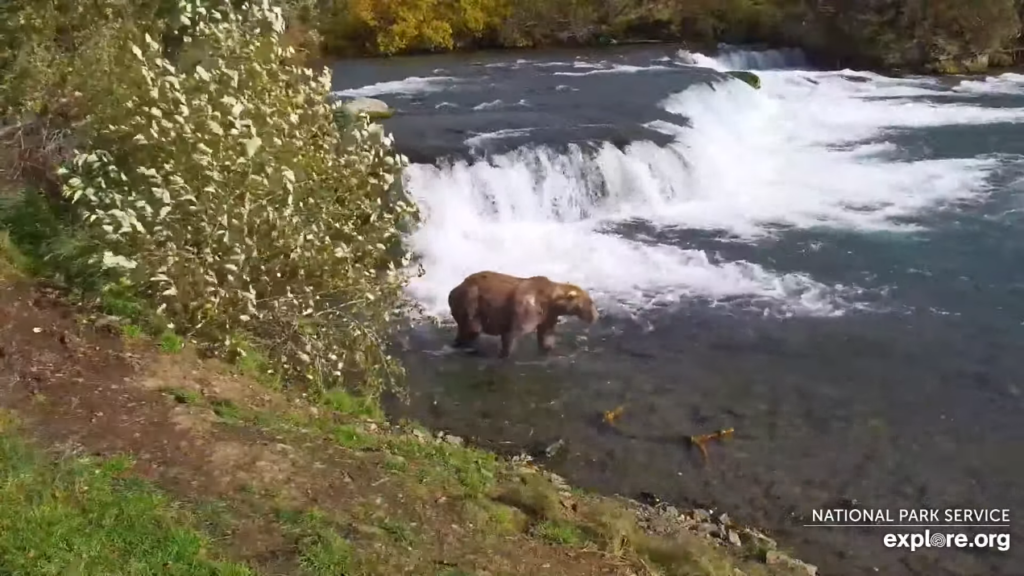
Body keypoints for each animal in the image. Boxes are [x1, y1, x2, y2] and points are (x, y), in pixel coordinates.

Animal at [448, 268, 598, 354]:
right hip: (471, 302)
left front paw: (549, 348)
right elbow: (512, 334)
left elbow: (546, 335)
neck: (550, 300)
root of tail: (453, 290)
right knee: (471, 329)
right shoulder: (527, 307)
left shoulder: (548, 315)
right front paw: (505, 353)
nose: (596, 316)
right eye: (591, 302)